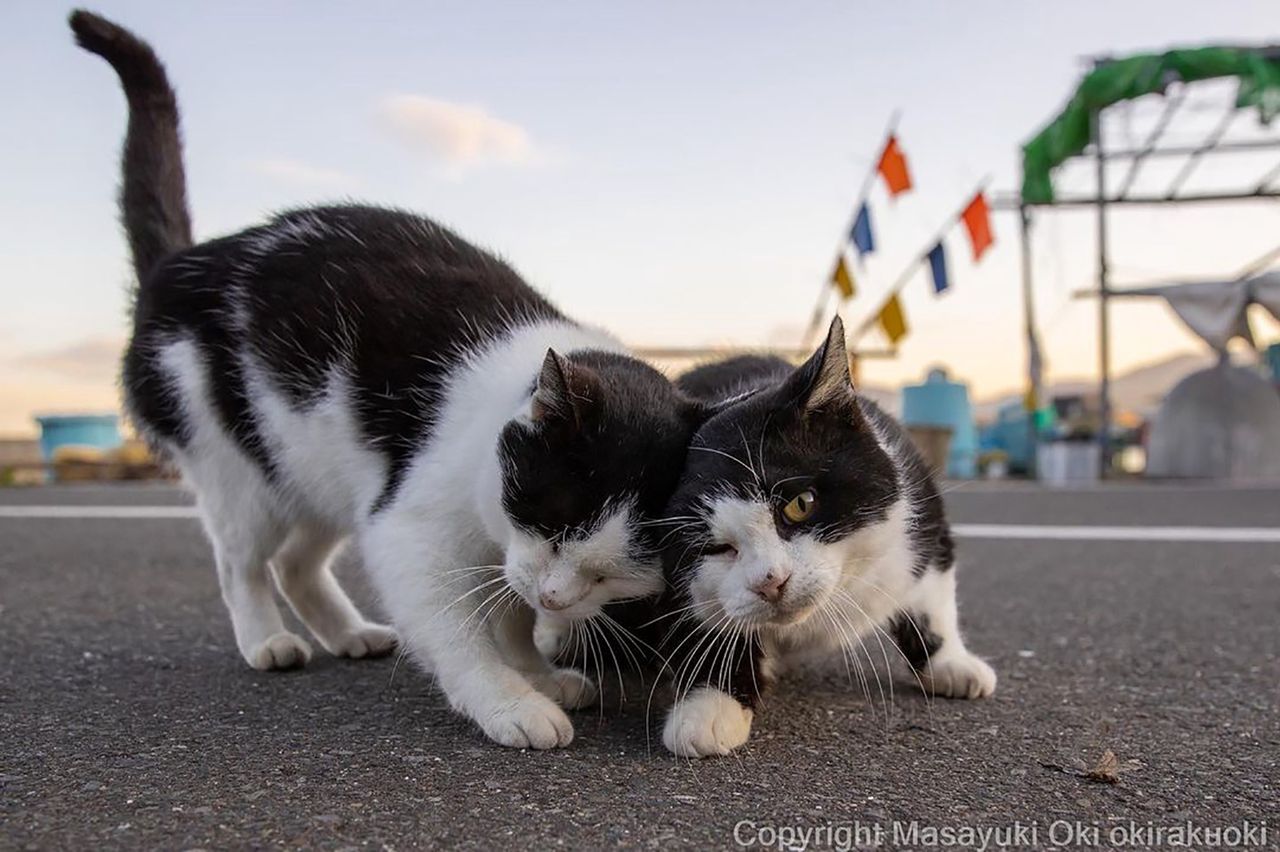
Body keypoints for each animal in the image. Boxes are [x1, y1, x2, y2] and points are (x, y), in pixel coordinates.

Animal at [71, 9, 711, 747]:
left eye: (611, 577)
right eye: (552, 525)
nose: (555, 596)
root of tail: (179, 265)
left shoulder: (484, 549)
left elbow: (511, 615)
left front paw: (538, 672)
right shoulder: (410, 534)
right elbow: (464, 636)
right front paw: (512, 701)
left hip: (321, 474)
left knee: (296, 563)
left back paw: (348, 634)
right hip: (240, 475)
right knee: (243, 563)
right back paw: (266, 642)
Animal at [650, 318, 998, 757]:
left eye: (800, 503)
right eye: (712, 547)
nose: (771, 582)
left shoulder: (921, 505)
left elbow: (933, 594)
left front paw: (951, 664)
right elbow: (702, 630)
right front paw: (710, 709)